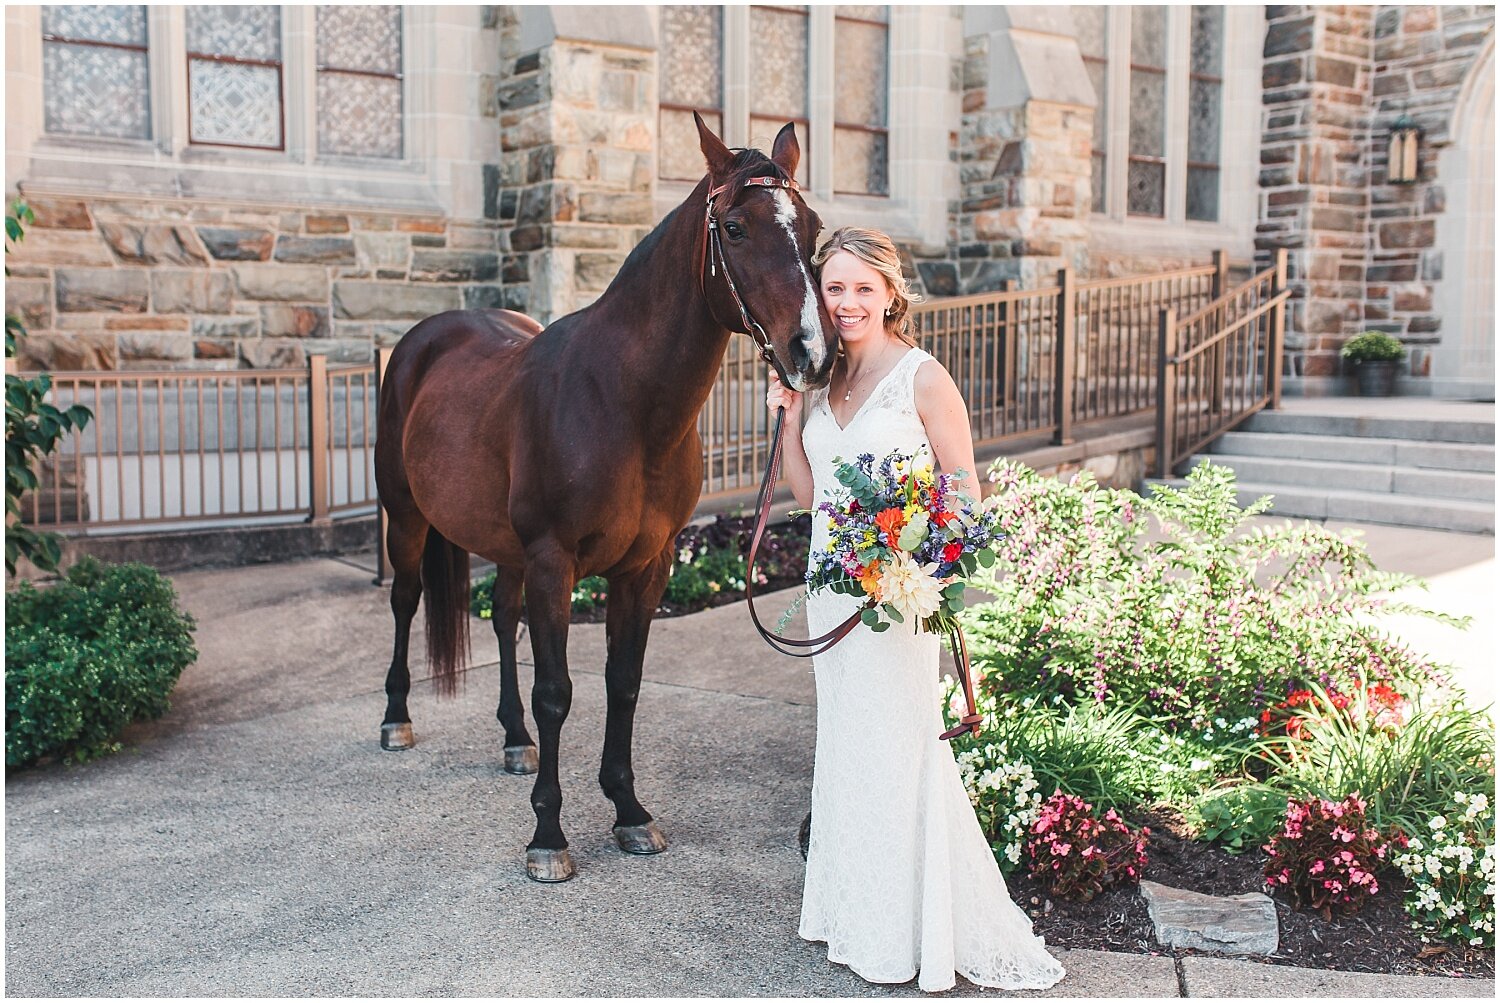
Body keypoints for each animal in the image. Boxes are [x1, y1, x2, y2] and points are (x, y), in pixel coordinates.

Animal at [370, 113, 840, 881]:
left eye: (812, 227)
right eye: (735, 227)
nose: (814, 353)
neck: (621, 402)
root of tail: (424, 338)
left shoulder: (646, 567)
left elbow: (624, 682)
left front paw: (629, 812)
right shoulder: (554, 561)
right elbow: (558, 692)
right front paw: (548, 835)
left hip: (506, 550)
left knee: (502, 618)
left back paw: (513, 739)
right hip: (408, 520)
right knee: (406, 601)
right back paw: (395, 720)